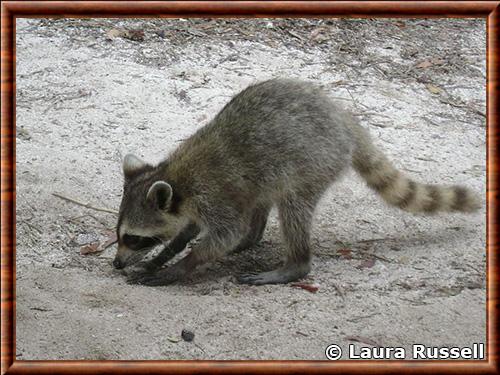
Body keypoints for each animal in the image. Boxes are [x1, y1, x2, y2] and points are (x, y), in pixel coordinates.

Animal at [114, 78, 480, 284]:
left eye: (133, 238)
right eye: (121, 234)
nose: (117, 263)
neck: (176, 177)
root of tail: (344, 120)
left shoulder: (214, 195)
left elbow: (224, 234)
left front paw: (181, 266)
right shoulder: (193, 203)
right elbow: (189, 230)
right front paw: (165, 254)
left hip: (314, 164)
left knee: (293, 209)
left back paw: (295, 264)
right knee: (261, 197)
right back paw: (253, 237)